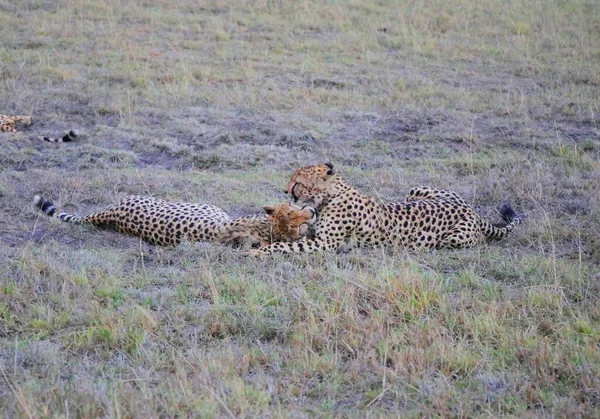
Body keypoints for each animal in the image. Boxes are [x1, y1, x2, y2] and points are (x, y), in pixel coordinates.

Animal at [248, 163, 520, 256]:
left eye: (297, 182)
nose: (285, 190)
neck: (332, 195)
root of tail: (469, 209)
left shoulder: (325, 243)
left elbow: (284, 246)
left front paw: (259, 251)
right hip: (414, 190)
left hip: (453, 239)